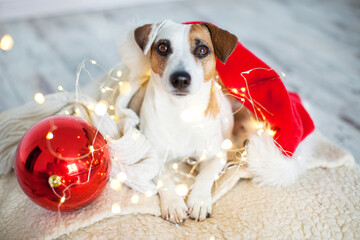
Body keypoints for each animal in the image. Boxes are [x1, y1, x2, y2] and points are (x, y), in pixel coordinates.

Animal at [128, 20, 238, 223]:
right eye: (163, 47)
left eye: (202, 50)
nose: (180, 79)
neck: (181, 112)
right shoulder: (153, 157)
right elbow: (164, 178)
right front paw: (173, 203)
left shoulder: (216, 155)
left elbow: (205, 175)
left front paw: (199, 200)